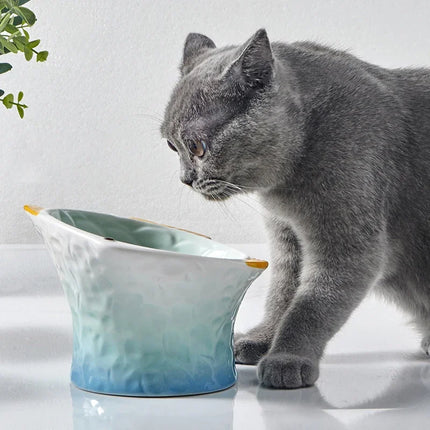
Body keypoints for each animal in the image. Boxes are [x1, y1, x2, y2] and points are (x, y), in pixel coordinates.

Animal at [160, 28, 430, 388]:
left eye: (197, 147)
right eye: (170, 145)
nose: (186, 180)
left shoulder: (347, 246)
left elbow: (310, 305)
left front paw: (287, 359)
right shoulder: (288, 238)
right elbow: (282, 295)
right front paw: (261, 340)